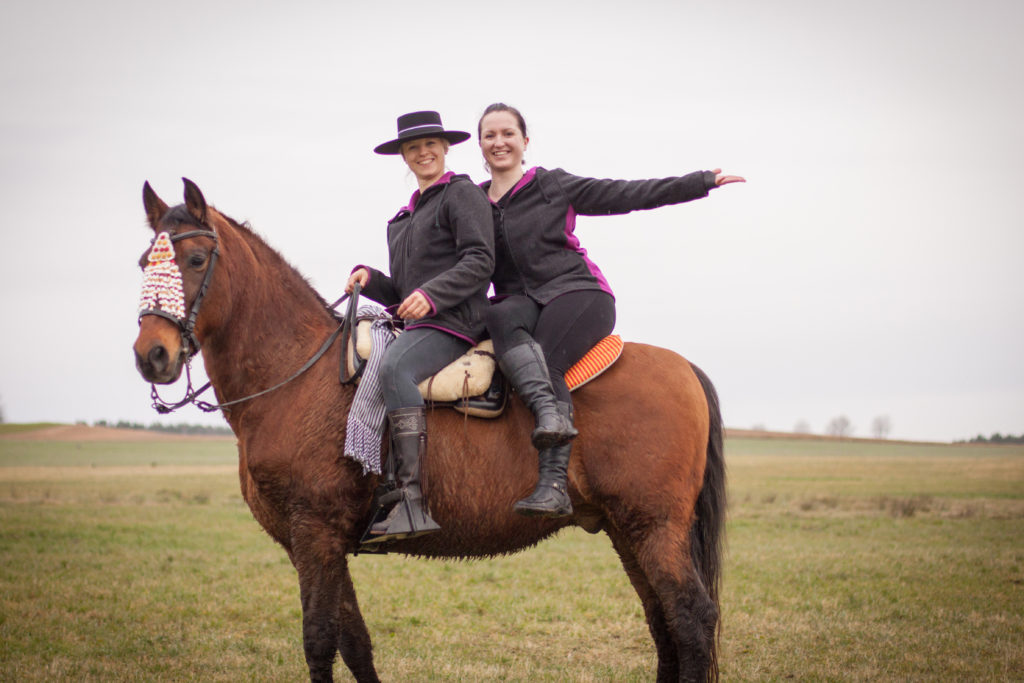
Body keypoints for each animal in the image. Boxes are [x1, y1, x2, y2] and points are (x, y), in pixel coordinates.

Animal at [134, 180, 729, 683]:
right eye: (144, 261)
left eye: (195, 258)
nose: (152, 354)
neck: (296, 375)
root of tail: (684, 369)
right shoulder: (318, 543)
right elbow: (355, 641)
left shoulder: (315, 534)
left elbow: (320, 640)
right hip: (626, 529)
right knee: (662, 620)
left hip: (653, 526)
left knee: (690, 618)